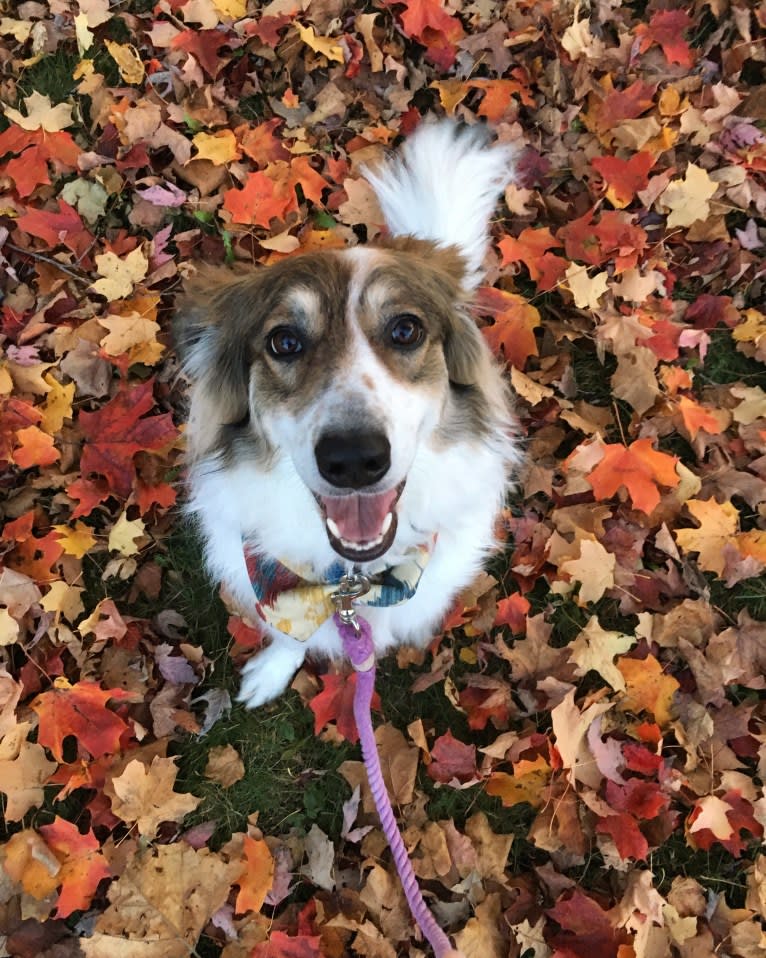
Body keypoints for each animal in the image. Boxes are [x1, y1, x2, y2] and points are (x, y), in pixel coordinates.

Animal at [176, 120, 520, 708]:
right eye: (285, 341)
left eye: (405, 330)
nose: (355, 459)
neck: (351, 585)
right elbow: (292, 637)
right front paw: (275, 668)